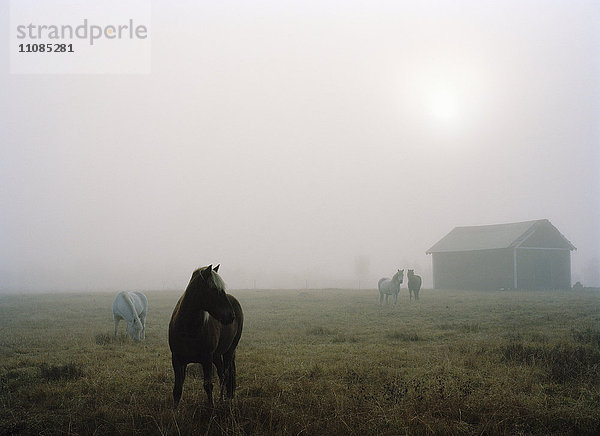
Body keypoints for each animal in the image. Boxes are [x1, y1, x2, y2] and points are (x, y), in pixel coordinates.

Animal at [168, 264, 243, 410]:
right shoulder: (177, 359)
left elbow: (208, 386)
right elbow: (177, 389)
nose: (231, 316)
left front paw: (211, 408)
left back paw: (223, 399)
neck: (188, 328)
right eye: (214, 290)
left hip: (228, 351)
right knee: (221, 374)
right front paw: (174, 411)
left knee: (226, 375)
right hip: (216, 355)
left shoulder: (206, 359)